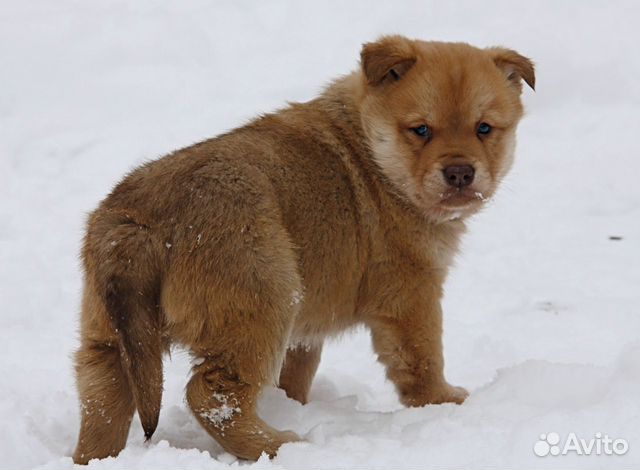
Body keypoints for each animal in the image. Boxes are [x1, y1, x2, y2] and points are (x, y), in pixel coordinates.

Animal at [71, 35, 536, 462]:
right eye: (421, 130)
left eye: (484, 128)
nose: (460, 173)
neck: (373, 155)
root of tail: (143, 221)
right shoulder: (410, 294)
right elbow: (423, 360)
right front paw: (446, 403)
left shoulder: (306, 330)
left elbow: (297, 375)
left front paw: (292, 404)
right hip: (261, 307)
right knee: (212, 396)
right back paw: (281, 445)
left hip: (108, 335)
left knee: (103, 398)